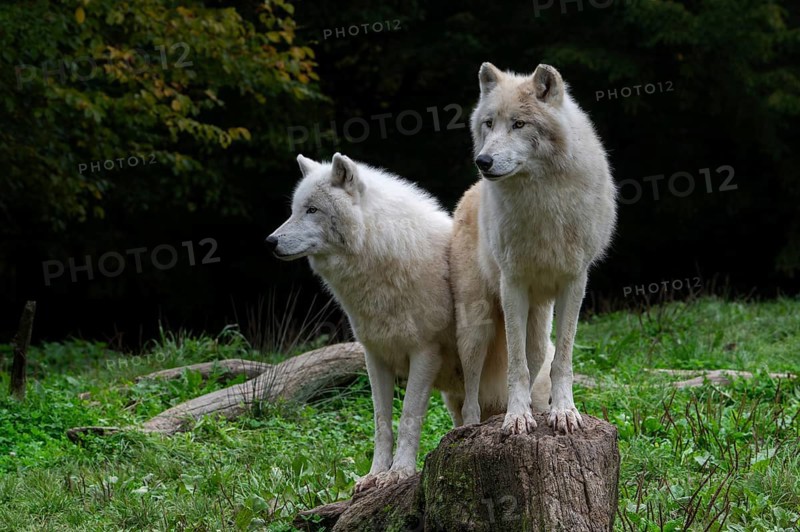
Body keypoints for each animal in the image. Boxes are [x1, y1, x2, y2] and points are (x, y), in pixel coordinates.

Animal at [266, 153, 467, 491]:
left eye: (312, 210)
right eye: (294, 209)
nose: (270, 241)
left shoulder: (425, 353)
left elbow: (408, 417)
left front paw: (400, 472)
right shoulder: (375, 357)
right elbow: (382, 422)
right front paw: (374, 475)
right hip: (454, 395)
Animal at [451, 63, 617, 435]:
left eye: (519, 124)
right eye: (489, 123)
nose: (483, 161)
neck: (542, 200)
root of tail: (467, 194)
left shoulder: (575, 282)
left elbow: (563, 360)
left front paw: (564, 412)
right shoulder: (512, 284)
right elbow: (516, 367)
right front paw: (516, 417)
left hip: (538, 331)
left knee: (538, 358)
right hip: (476, 329)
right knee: (469, 393)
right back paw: (468, 428)